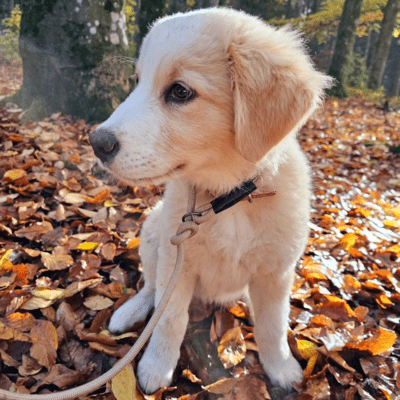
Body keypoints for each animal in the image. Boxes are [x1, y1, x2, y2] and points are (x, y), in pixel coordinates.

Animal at [90, 7, 332, 396]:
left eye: (180, 91)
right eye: (137, 81)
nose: (96, 142)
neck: (225, 198)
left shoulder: (277, 271)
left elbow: (273, 325)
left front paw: (281, 368)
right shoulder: (178, 260)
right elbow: (169, 317)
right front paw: (156, 367)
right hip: (154, 230)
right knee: (151, 287)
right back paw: (131, 311)